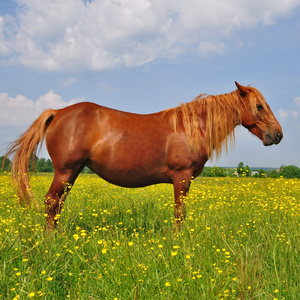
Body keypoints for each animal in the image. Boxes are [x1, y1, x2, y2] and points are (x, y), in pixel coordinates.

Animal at [4, 82, 282, 230]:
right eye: (259, 106)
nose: (277, 134)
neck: (191, 127)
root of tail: (58, 112)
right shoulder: (182, 178)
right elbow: (179, 212)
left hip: (71, 173)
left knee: (58, 204)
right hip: (65, 171)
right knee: (51, 202)